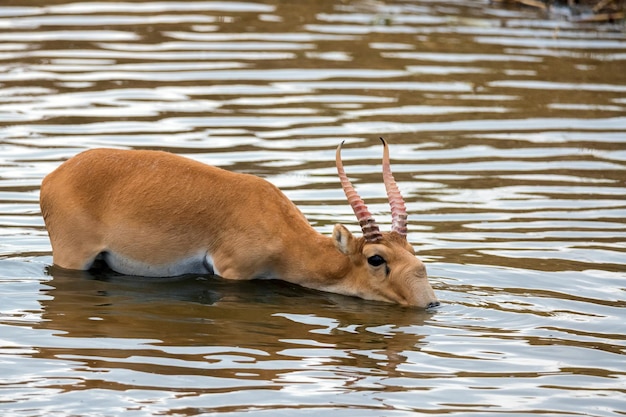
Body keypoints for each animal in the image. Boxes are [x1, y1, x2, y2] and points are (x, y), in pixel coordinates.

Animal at [40, 138, 438, 308]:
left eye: (411, 251)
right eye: (376, 258)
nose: (429, 303)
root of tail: (52, 178)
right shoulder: (234, 272)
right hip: (73, 257)